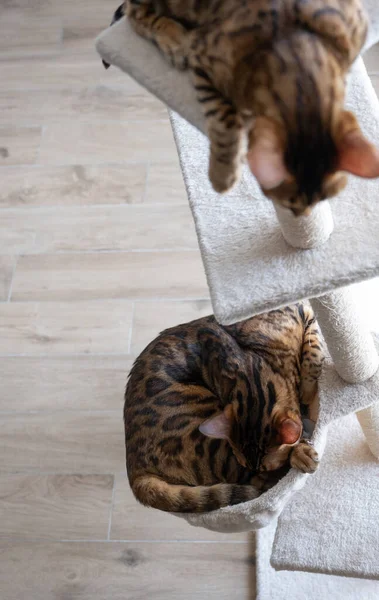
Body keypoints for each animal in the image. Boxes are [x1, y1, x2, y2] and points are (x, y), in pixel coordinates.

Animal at [106, 0, 379, 216]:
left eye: (321, 201)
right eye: (290, 205)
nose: (303, 216)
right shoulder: (203, 60)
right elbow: (225, 120)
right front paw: (222, 174)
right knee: (136, 13)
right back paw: (174, 40)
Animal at [124, 302, 324, 512]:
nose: (254, 468)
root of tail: (136, 472)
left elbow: (314, 346)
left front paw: (307, 389)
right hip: (212, 445)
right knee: (260, 483)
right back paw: (302, 455)